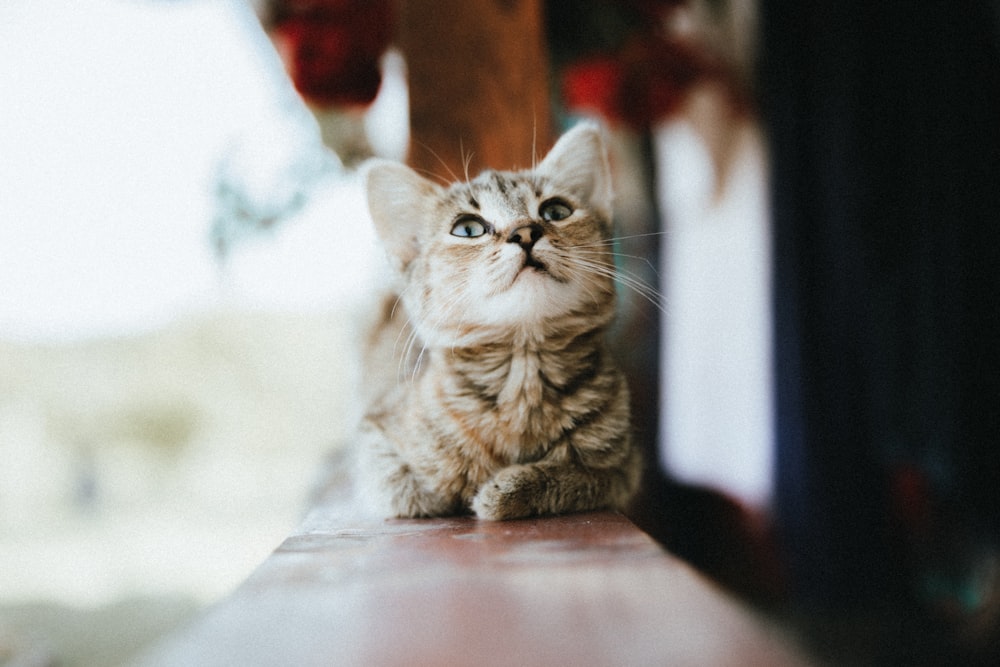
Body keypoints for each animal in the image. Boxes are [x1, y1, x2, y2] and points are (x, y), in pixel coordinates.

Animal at [352, 124, 640, 520]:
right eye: (468, 229)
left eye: (556, 210)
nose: (525, 231)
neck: (522, 372)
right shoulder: (373, 432)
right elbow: (405, 486)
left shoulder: (624, 469)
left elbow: (578, 475)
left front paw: (510, 488)